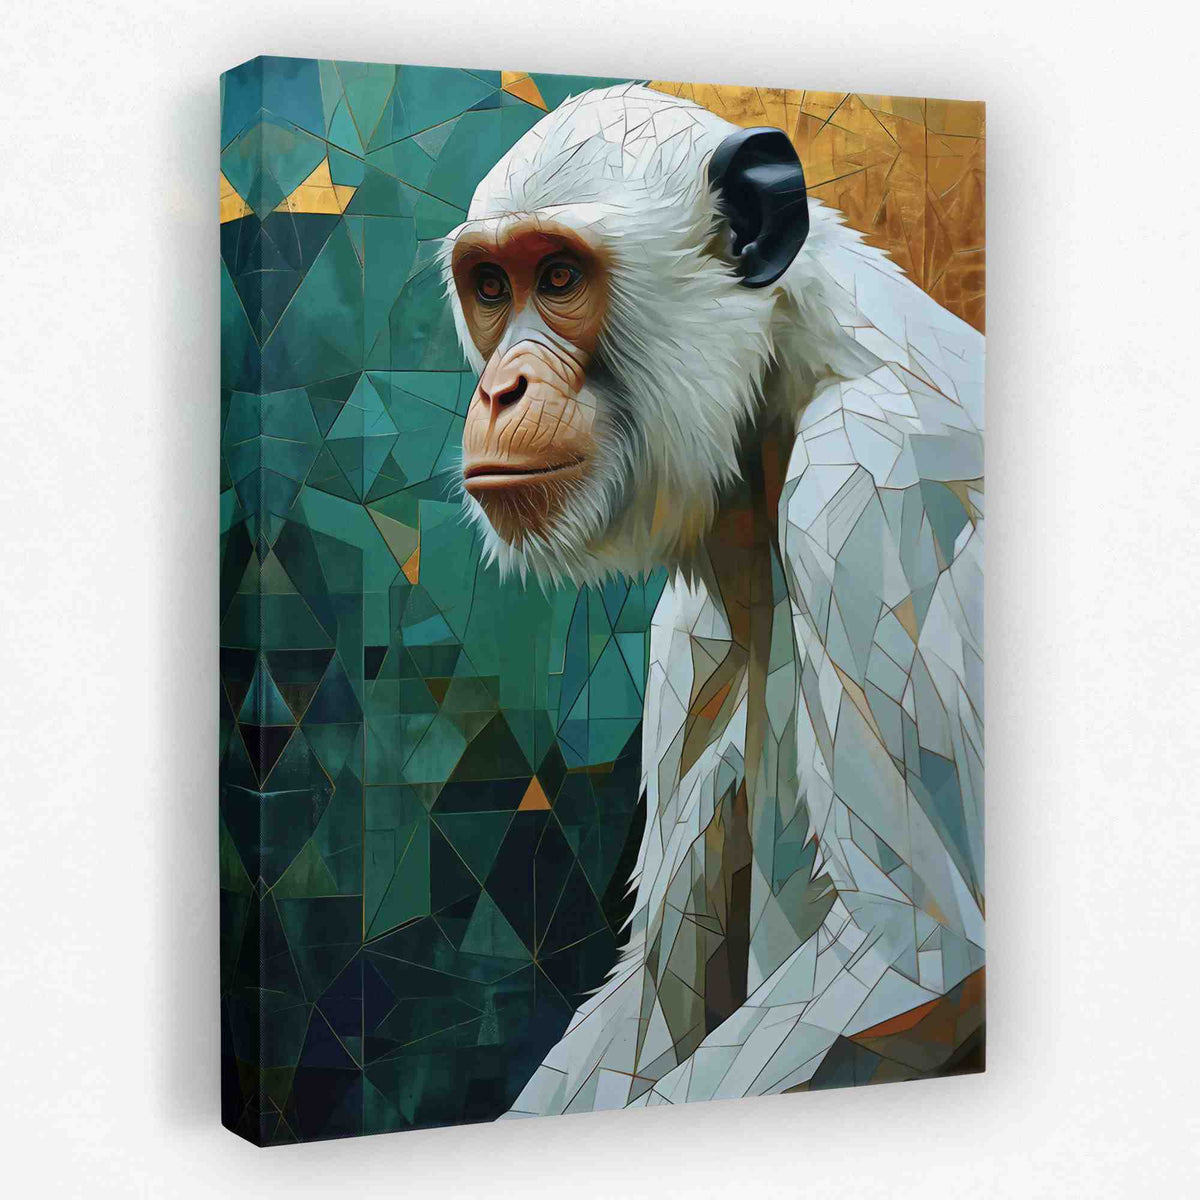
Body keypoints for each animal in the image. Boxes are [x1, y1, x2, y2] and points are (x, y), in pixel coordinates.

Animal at [440, 84, 984, 1114]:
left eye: (559, 277)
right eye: (492, 288)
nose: (501, 390)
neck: (787, 367)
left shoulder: (866, 489)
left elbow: (920, 957)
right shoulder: (683, 638)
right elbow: (652, 985)